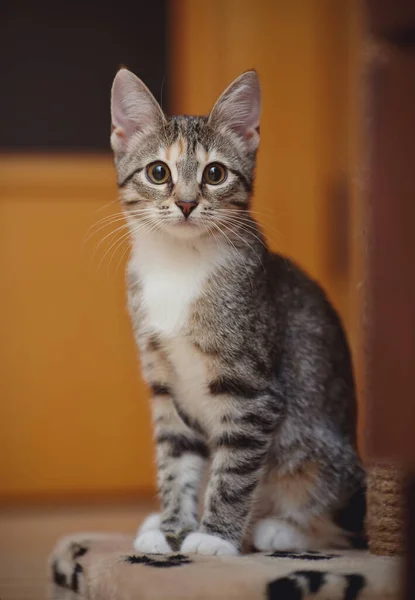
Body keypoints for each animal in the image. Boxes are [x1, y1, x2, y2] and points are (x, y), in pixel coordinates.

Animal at [109, 68, 364, 556]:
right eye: (158, 172)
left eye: (215, 173)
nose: (187, 203)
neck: (179, 265)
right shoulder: (164, 383)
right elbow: (175, 458)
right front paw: (172, 528)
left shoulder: (253, 390)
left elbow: (235, 469)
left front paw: (214, 538)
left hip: (319, 454)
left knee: (341, 524)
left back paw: (280, 530)